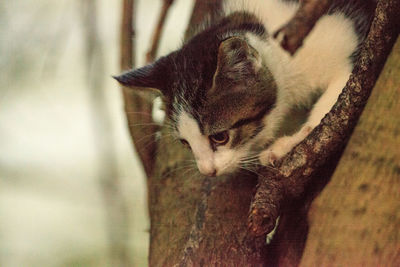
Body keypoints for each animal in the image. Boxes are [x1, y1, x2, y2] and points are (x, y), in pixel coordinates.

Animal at [113, 0, 376, 178]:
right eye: (186, 143)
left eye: (220, 137)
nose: (207, 171)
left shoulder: (347, 44)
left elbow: (338, 101)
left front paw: (287, 144)